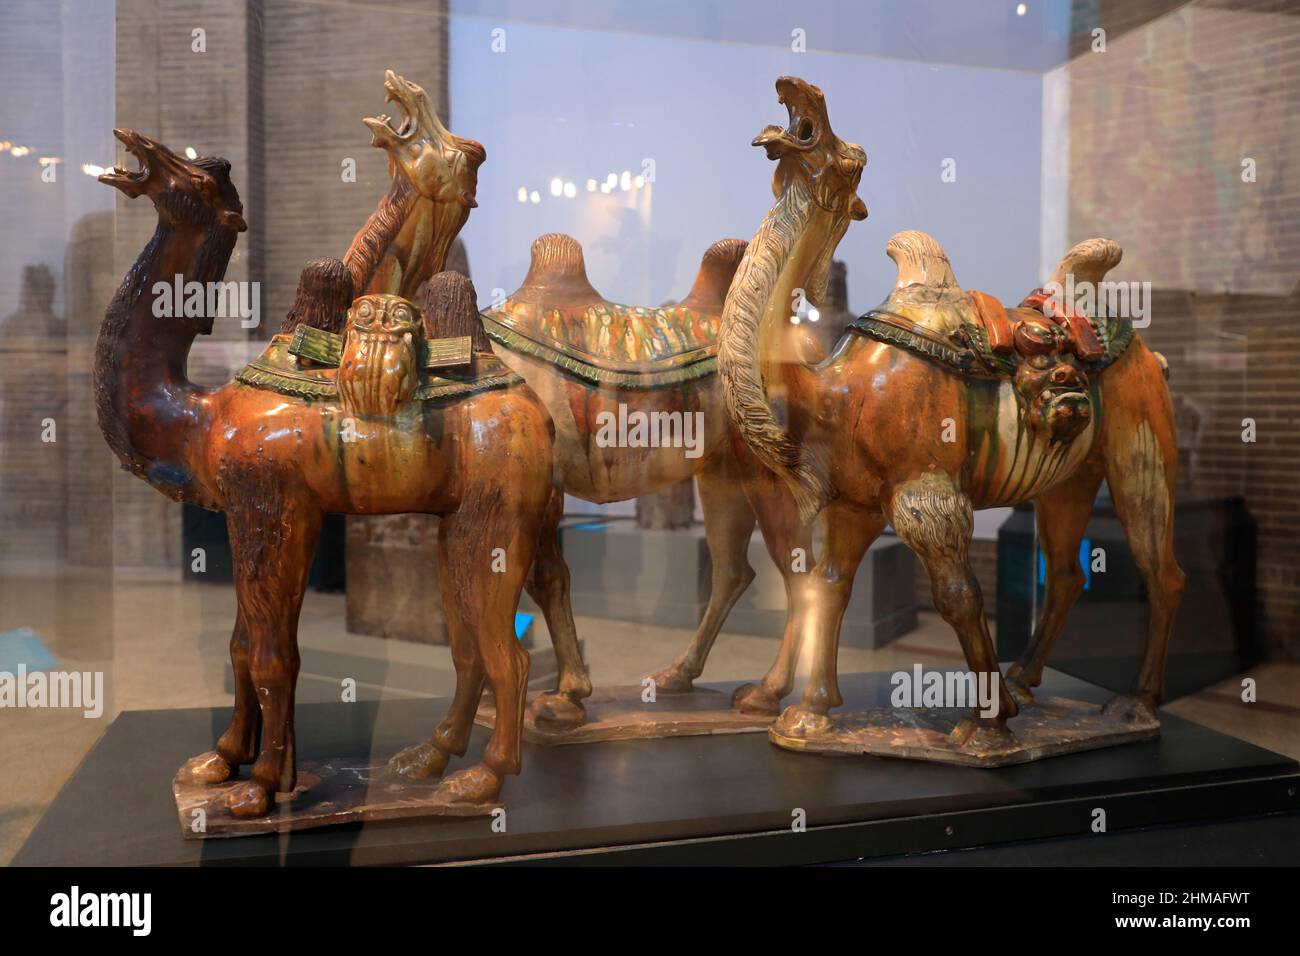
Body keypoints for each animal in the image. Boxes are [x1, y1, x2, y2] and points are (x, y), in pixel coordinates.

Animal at [94, 128, 553, 816]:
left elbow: (272, 655)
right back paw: (425, 762)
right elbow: (239, 645)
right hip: (460, 521)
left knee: (508, 654)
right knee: (468, 644)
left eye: (198, 179)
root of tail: (538, 413)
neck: (199, 415)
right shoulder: (248, 513)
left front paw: (261, 788)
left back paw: (480, 779)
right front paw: (221, 761)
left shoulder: (271, 505)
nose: (134, 146)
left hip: (499, 514)